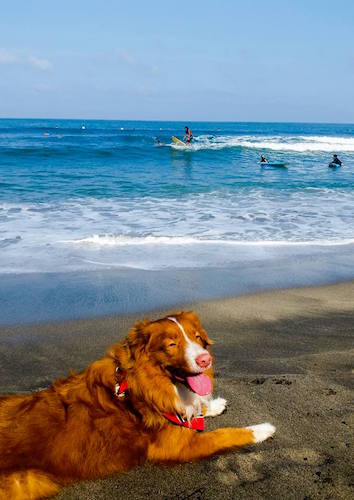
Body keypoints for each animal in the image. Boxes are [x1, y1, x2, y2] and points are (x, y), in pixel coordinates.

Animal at [0, 310, 276, 498]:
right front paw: (261, 429)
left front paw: (212, 404)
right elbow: (225, 434)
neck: (145, 384)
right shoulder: (176, 447)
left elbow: (194, 408)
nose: (205, 359)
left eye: (197, 337)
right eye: (171, 344)